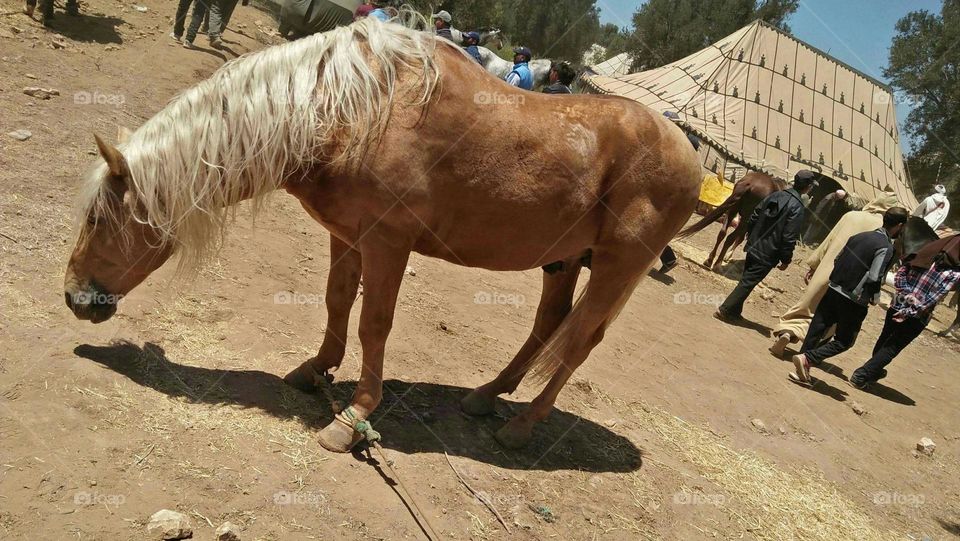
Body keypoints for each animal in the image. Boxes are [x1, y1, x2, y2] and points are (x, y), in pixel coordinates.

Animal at [63, 17, 700, 452]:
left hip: (616, 269)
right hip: (563, 261)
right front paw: (316, 370)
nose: (73, 297)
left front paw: (353, 418)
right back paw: (485, 396)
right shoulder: (346, 235)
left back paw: (521, 426)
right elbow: (337, 301)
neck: (352, 113)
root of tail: (690, 155)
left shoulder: (387, 243)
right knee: (547, 326)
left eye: (98, 219)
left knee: (579, 342)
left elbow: (374, 324)